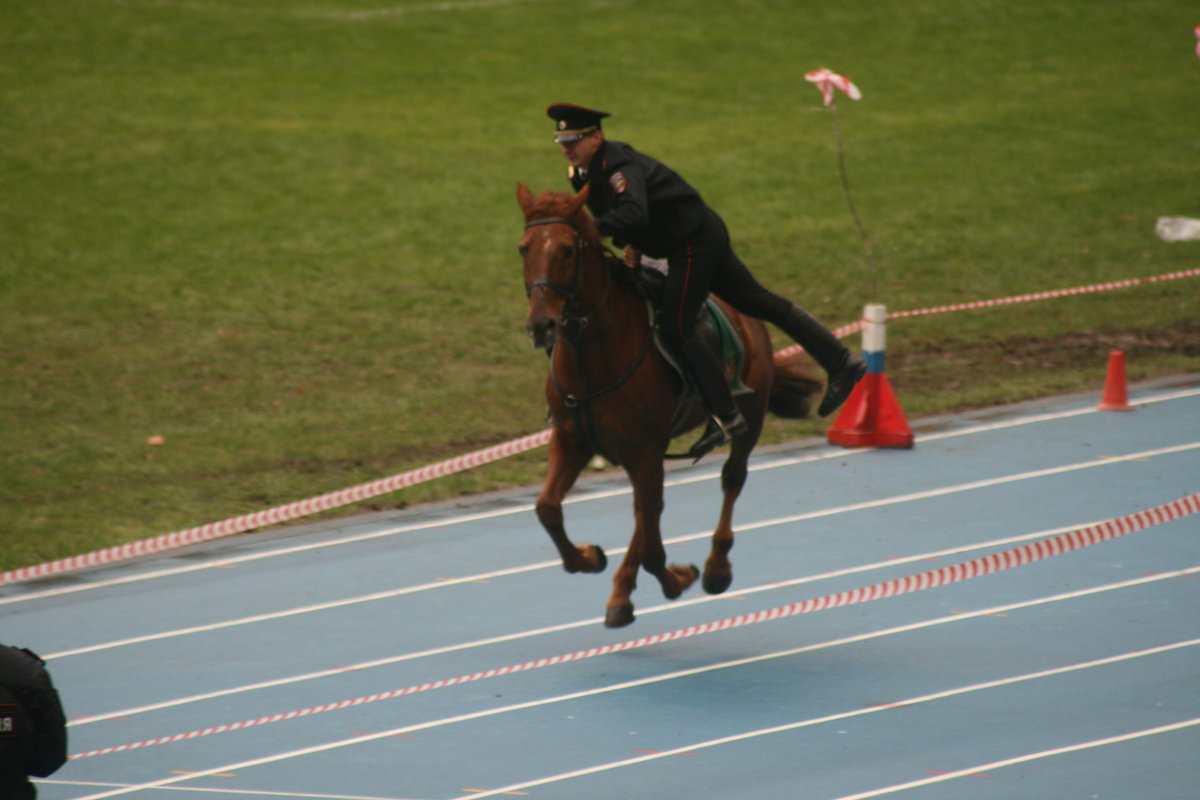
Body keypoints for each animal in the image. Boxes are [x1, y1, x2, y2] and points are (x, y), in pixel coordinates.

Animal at [516, 184, 825, 628]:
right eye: (523, 249)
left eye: (567, 250)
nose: (540, 325)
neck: (592, 354)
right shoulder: (573, 439)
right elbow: (547, 509)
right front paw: (589, 558)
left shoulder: (644, 450)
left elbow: (652, 546)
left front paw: (677, 580)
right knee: (644, 514)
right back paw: (622, 593)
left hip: (748, 417)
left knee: (731, 479)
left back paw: (715, 568)